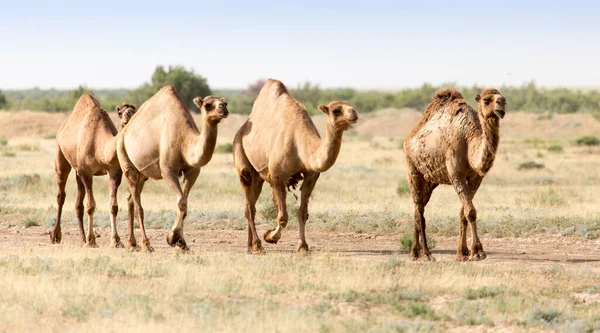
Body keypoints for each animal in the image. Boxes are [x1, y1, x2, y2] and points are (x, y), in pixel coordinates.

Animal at [50, 93, 137, 246]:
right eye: (121, 114)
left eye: (135, 112)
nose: (129, 121)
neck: (100, 147)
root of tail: (62, 127)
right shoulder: (86, 172)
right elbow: (91, 205)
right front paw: (91, 240)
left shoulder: (114, 172)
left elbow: (113, 206)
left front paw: (116, 241)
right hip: (61, 157)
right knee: (61, 195)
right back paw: (56, 235)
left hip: (77, 171)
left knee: (78, 204)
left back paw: (82, 238)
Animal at [116, 85, 229, 252]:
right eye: (207, 105)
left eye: (225, 102)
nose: (223, 109)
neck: (184, 141)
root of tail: (122, 133)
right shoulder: (167, 170)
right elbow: (181, 201)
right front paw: (173, 238)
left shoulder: (193, 171)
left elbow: (185, 203)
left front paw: (181, 242)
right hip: (124, 158)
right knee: (138, 206)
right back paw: (146, 245)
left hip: (142, 174)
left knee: (131, 200)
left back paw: (132, 244)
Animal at [233, 78, 356, 254]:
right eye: (336, 110)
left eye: (351, 106)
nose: (354, 113)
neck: (302, 145)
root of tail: (242, 129)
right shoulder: (277, 175)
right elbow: (283, 216)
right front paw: (270, 237)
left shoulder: (311, 175)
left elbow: (303, 213)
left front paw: (302, 247)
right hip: (241, 158)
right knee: (248, 206)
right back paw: (258, 245)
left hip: (258, 176)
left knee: (252, 203)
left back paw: (250, 246)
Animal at [404, 88, 506, 262]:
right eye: (486, 100)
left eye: (504, 99)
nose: (501, 105)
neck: (469, 139)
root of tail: (409, 137)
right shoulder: (455, 174)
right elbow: (470, 212)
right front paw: (478, 252)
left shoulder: (475, 178)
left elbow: (463, 213)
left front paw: (462, 253)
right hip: (413, 171)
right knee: (419, 211)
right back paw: (424, 254)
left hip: (430, 181)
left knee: (419, 208)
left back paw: (416, 252)